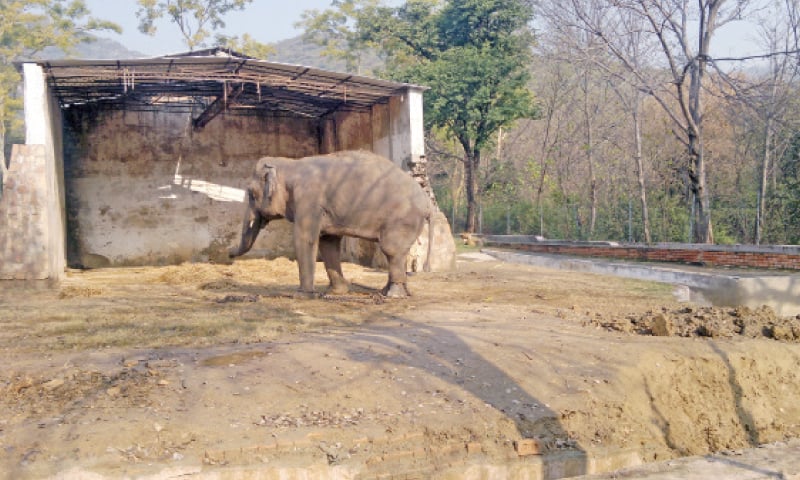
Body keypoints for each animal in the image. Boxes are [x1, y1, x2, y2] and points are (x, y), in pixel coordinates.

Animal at [231, 152, 432, 298]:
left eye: (251, 193)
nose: (229, 253)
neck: (290, 165)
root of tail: (428, 203)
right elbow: (328, 243)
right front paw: (336, 292)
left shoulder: (309, 201)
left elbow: (305, 239)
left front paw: (301, 295)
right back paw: (388, 292)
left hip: (402, 218)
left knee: (391, 249)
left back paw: (393, 294)